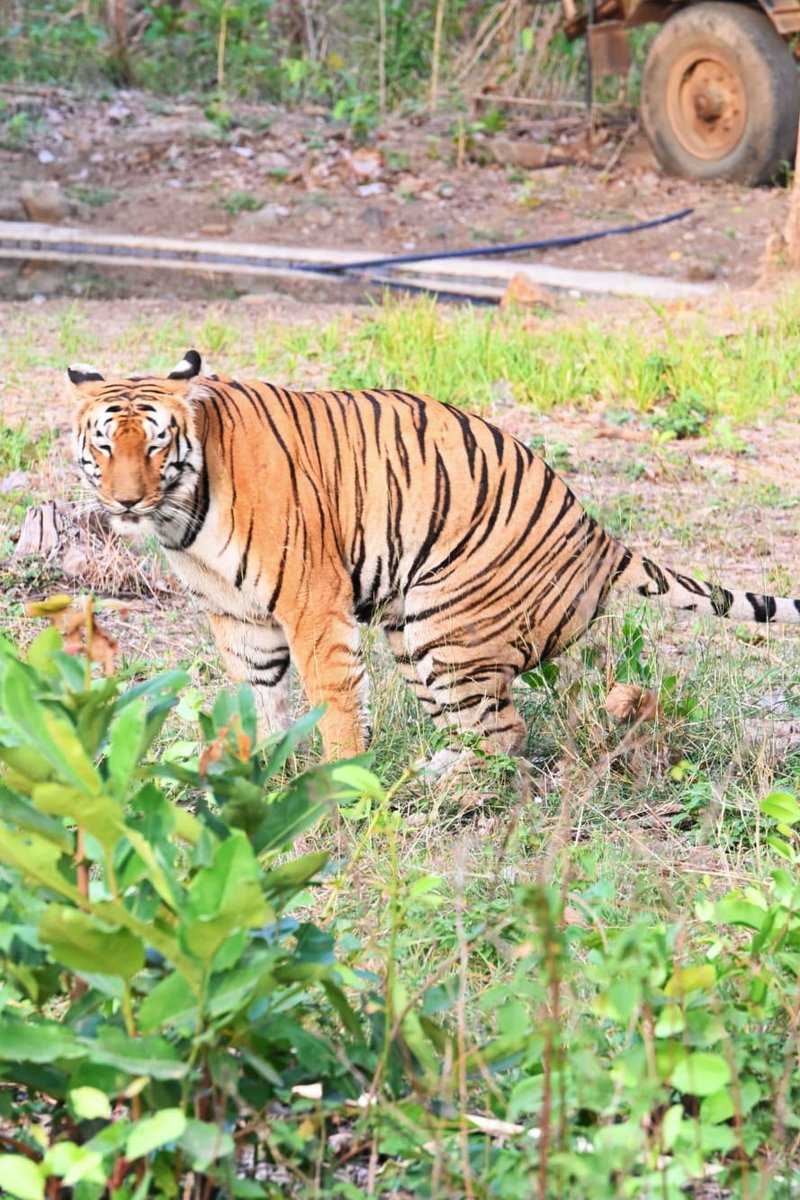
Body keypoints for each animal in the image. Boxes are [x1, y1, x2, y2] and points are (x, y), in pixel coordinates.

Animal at [68, 349, 800, 773]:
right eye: (105, 445)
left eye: (156, 445)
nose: (125, 501)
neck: (182, 513)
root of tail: (599, 534)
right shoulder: (239, 617)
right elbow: (258, 700)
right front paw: (257, 778)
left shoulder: (312, 602)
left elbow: (333, 701)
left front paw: (340, 784)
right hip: (413, 632)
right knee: (481, 730)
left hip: (447, 627)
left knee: (505, 736)